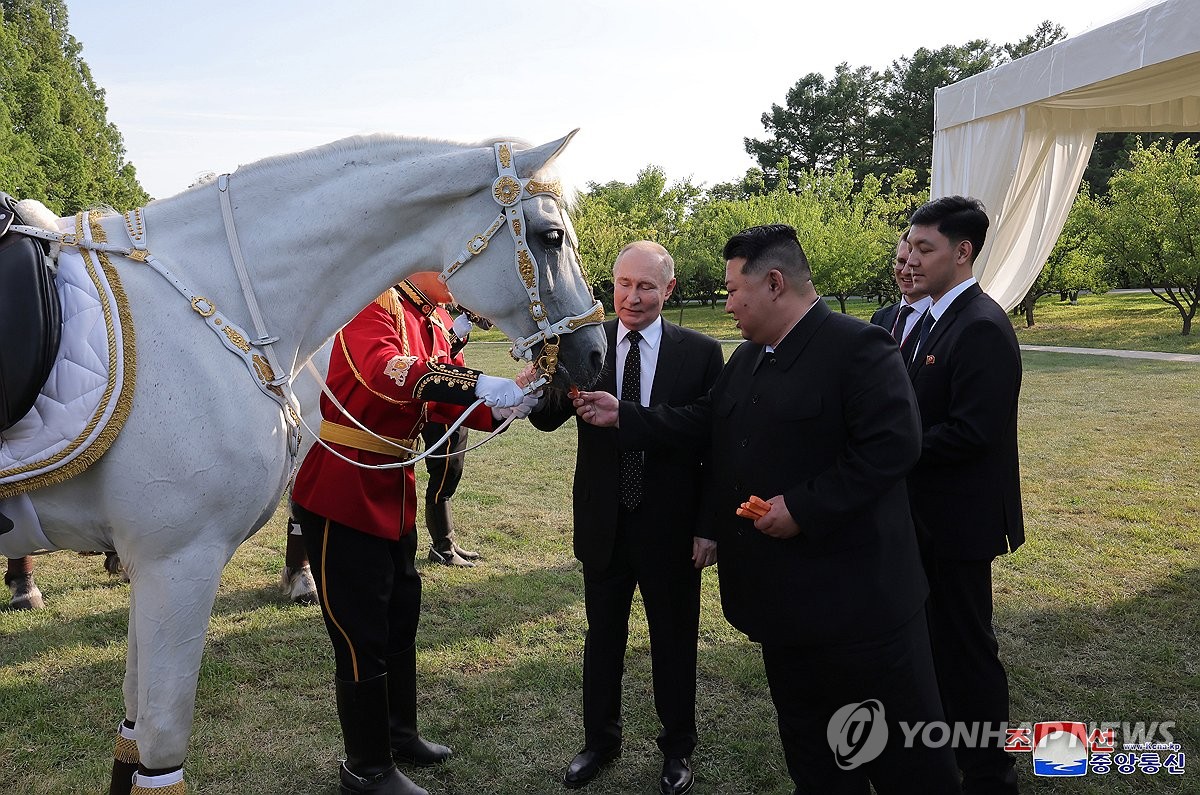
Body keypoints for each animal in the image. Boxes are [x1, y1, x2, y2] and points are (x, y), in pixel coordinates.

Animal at [4, 133, 604, 792]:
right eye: (552, 235)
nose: (595, 355)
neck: (222, 301)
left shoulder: (155, 560)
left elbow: (132, 732)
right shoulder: (178, 560)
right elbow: (162, 741)